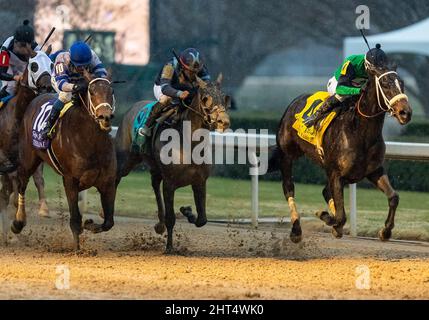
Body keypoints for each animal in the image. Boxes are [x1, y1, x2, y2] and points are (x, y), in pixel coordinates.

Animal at [114, 75, 231, 252]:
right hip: (127, 160)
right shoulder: (169, 183)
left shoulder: (199, 181)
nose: (223, 121)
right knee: (115, 177)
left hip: (155, 168)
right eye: (205, 98)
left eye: (224, 97)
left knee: (155, 184)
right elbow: (171, 218)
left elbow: (202, 219)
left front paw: (187, 211)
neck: (189, 143)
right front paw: (169, 247)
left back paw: (159, 224)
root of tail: (133, 106)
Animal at [270, 66, 412, 244]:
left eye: (402, 84)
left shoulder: (374, 170)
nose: (405, 113)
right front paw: (325, 216)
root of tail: (294, 101)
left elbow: (394, 197)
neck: (360, 132)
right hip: (287, 155)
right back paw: (296, 230)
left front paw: (385, 231)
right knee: (289, 188)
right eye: (385, 84)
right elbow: (341, 215)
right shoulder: (336, 174)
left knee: (325, 191)